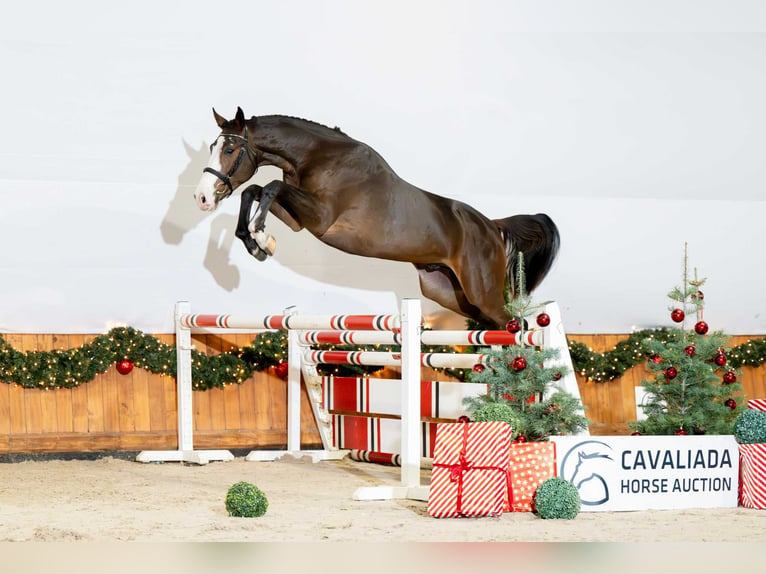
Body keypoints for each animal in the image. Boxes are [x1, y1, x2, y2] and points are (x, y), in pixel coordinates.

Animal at [195, 107, 560, 328]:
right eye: (213, 147)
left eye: (230, 150)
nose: (202, 198)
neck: (318, 155)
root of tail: (492, 227)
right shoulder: (299, 218)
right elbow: (254, 191)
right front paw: (257, 242)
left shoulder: (321, 218)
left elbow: (268, 187)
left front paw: (259, 236)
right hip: (448, 292)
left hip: (481, 290)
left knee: (516, 326)